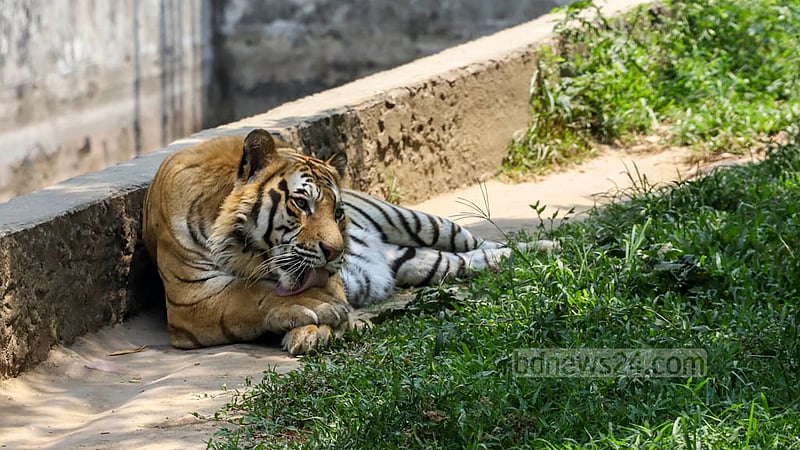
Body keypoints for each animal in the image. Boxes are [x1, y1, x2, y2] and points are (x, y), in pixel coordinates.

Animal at [142, 128, 556, 355]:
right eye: (301, 203)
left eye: (338, 211)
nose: (337, 252)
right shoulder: (191, 299)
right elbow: (249, 294)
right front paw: (313, 316)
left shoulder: (328, 279)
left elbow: (298, 295)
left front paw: (318, 326)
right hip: (419, 261)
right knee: (474, 259)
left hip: (422, 223)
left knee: (481, 243)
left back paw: (548, 248)